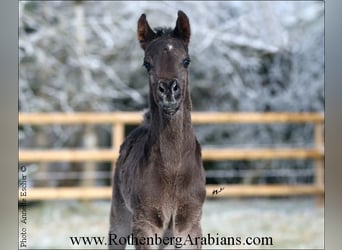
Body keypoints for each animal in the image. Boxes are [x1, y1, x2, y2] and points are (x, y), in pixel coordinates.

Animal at [109, 10, 206, 249]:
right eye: (147, 64)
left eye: (186, 61)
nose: (169, 91)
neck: (173, 170)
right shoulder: (145, 223)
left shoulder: (190, 224)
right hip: (120, 215)